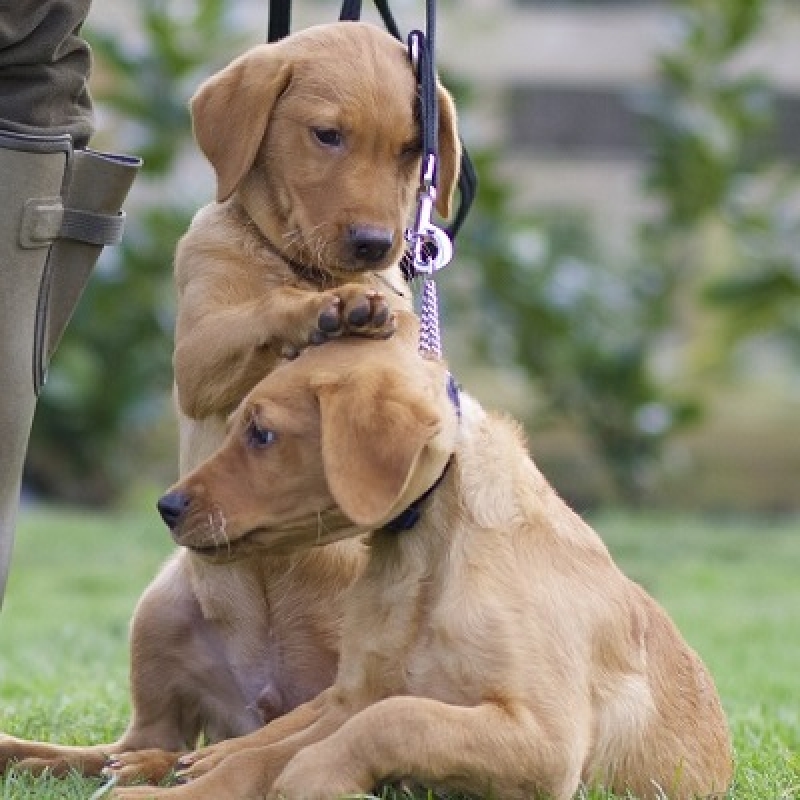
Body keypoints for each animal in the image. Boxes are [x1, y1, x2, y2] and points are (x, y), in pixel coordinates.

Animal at [0, 21, 460, 784]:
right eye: (327, 136)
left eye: (407, 151)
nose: (378, 244)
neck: (292, 262)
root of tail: (258, 697)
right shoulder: (197, 347)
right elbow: (257, 319)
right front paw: (320, 311)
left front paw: (350, 310)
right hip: (161, 611)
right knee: (140, 744)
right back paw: (61, 759)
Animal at [111, 314, 732, 800]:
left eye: (261, 434)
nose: (167, 506)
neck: (426, 561)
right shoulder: (353, 696)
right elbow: (261, 759)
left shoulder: (546, 740)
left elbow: (397, 718)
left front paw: (313, 772)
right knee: (244, 741)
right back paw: (158, 765)